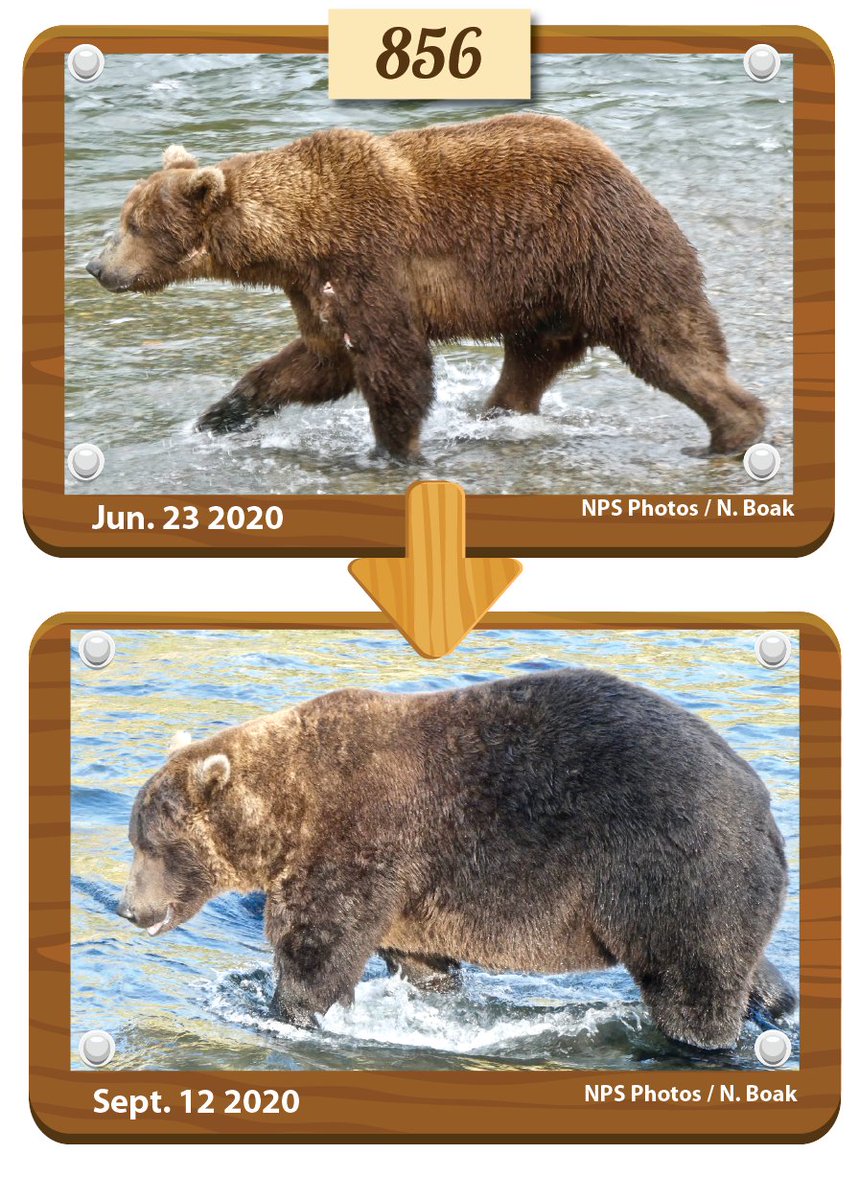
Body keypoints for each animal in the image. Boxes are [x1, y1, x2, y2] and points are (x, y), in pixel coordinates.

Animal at [86, 114, 766, 462]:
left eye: (132, 223)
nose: (95, 265)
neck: (297, 233)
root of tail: (626, 169)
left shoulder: (370, 256)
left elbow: (393, 359)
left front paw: (390, 450)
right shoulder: (313, 286)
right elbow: (319, 358)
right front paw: (220, 415)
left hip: (604, 253)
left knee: (667, 340)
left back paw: (732, 430)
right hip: (542, 298)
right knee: (530, 363)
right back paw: (490, 416)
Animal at [116, 669, 795, 1051]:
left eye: (149, 843)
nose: (127, 908)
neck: (284, 812)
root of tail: (761, 801)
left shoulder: (355, 845)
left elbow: (316, 948)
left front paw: (290, 1010)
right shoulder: (409, 895)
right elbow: (421, 962)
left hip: (677, 867)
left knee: (693, 982)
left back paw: (697, 1039)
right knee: (738, 964)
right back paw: (774, 1002)